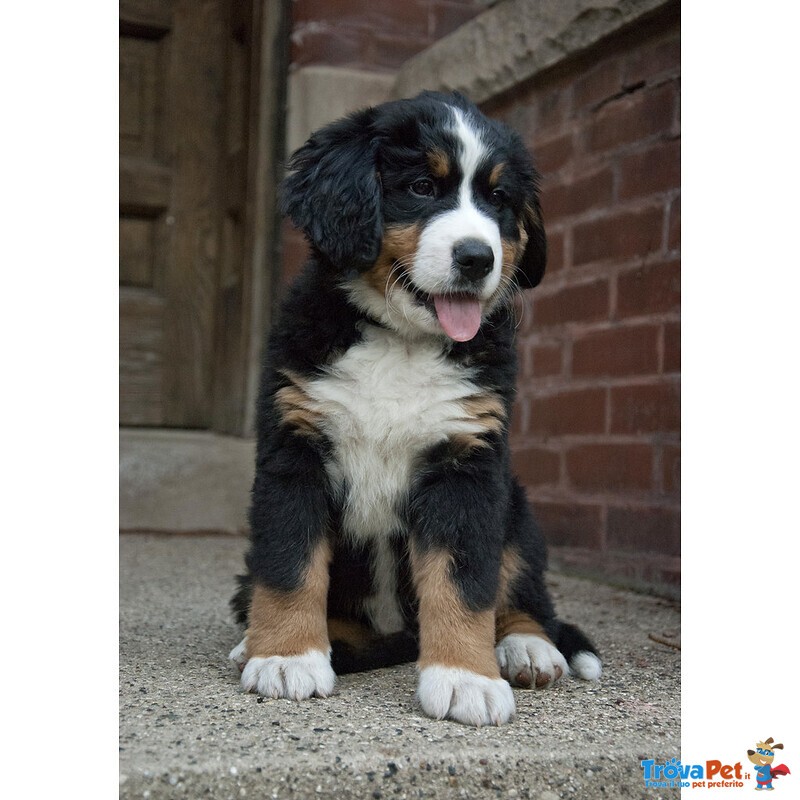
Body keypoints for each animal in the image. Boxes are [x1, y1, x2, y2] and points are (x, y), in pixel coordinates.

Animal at [230, 90, 600, 728]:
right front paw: (285, 657)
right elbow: (289, 561)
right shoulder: (294, 449)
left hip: (517, 510)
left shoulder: (466, 464)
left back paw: (528, 648)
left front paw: (466, 678)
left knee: (524, 592)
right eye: (422, 187)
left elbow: (463, 581)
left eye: (499, 200)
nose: (477, 258)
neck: (400, 342)